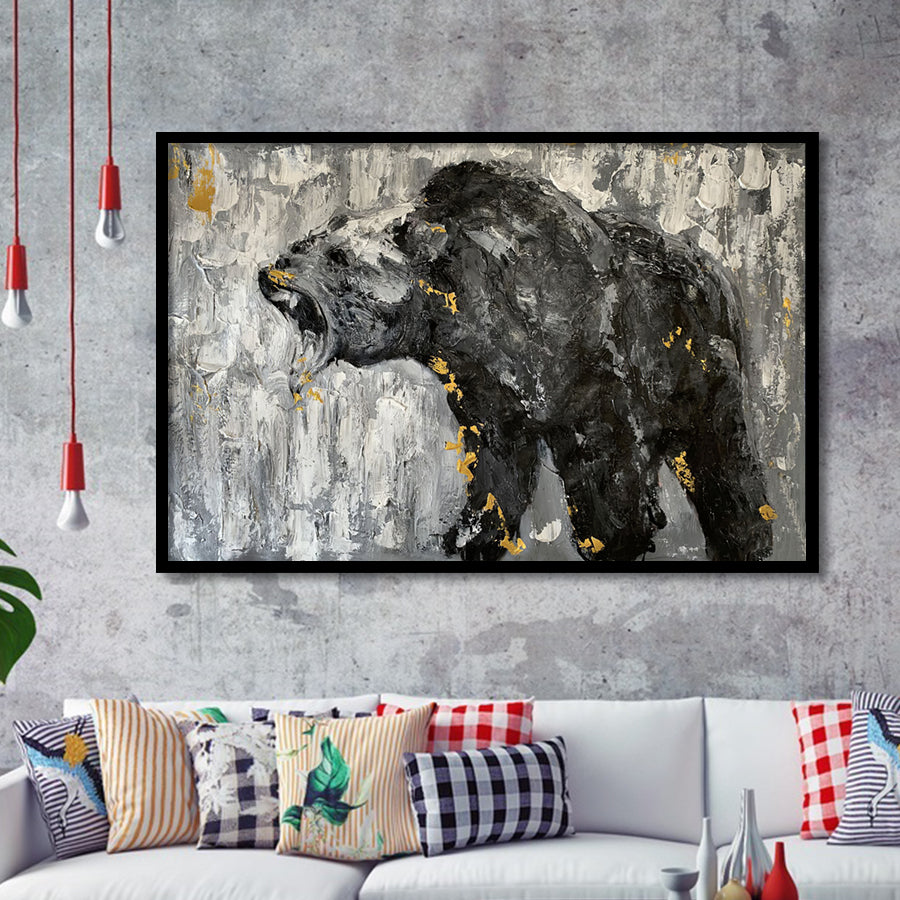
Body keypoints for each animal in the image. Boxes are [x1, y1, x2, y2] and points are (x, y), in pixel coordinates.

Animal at [258, 161, 773, 562]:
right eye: (306, 241)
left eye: (338, 257)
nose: (270, 272)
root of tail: (716, 275)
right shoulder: (487, 399)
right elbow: (496, 476)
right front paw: (469, 536)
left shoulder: (599, 390)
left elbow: (610, 478)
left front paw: (617, 537)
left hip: (704, 379)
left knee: (726, 465)